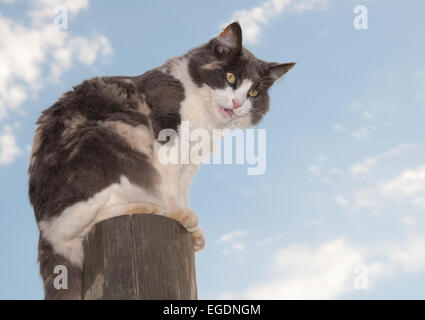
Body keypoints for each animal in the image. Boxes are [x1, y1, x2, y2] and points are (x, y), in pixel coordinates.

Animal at [28, 22, 294, 300]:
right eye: (231, 78)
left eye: (254, 92)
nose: (237, 102)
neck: (206, 119)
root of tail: (42, 232)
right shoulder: (168, 138)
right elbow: (168, 186)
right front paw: (177, 215)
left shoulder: (190, 162)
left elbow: (179, 190)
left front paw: (191, 229)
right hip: (105, 142)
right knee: (75, 224)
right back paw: (145, 207)